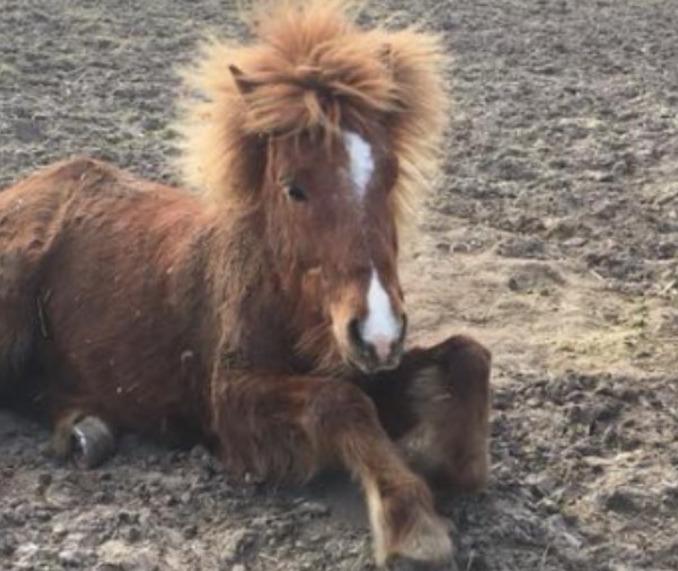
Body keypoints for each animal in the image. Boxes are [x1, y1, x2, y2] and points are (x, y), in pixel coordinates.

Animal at [0, 2, 492, 568]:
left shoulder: (361, 365)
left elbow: (468, 357)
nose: (380, 333)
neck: (282, 294)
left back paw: (86, 429)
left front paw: (436, 456)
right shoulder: (233, 404)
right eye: (294, 188)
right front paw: (412, 523)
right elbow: (339, 403)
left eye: (389, 175)